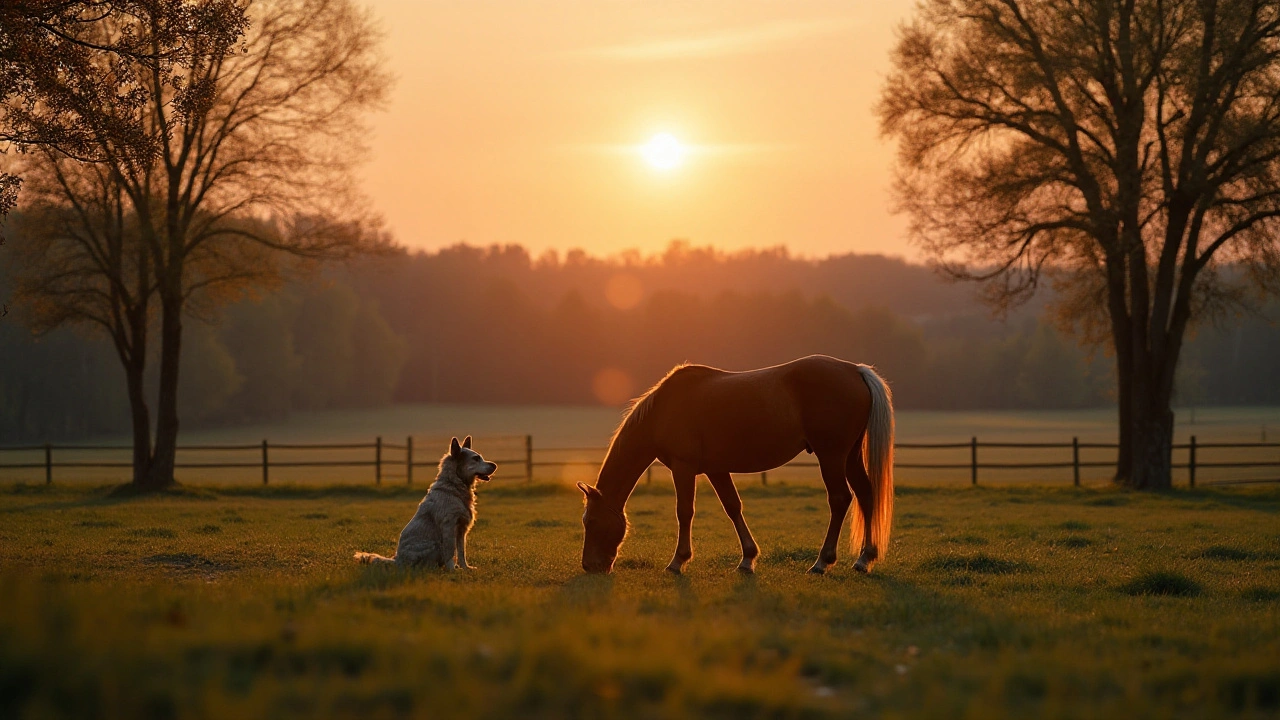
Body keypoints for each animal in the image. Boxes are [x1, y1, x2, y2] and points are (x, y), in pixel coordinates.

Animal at [360, 435, 504, 568]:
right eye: (475, 458)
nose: (495, 465)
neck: (454, 486)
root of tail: (397, 560)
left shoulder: (461, 529)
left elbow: (461, 552)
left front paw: (465, 568)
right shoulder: (449, 526)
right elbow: (450, 551)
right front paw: (452, 570)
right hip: (434, 545)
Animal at [578, 353, 890, 571]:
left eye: (591, 521)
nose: (590, 566)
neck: (663, 409)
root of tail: (855, 370)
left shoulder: (683, 467)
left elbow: (685, 511)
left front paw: (678, 561)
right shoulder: (716, 469)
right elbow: (732, 507)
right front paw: (748, 559)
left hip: (831, 456)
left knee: (840, 499)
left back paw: (822, 562)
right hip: (849, 456)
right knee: (865, 493)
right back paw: (864, 558)